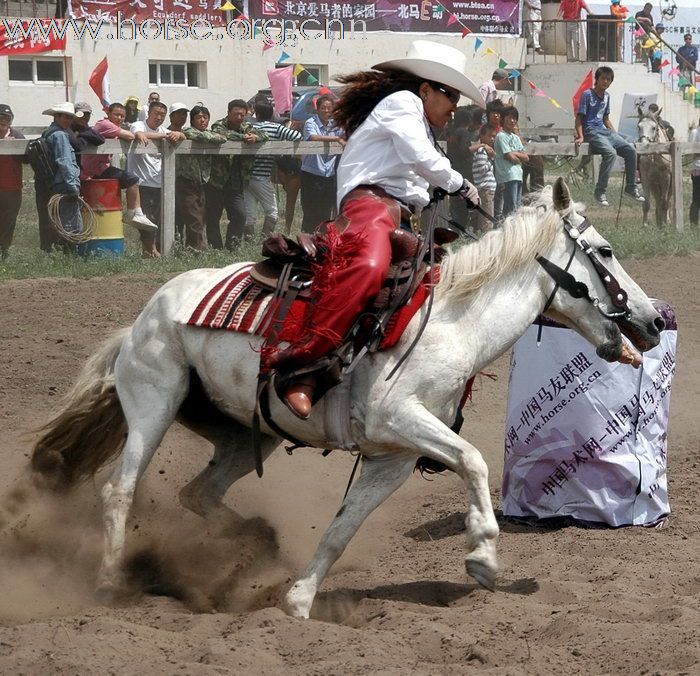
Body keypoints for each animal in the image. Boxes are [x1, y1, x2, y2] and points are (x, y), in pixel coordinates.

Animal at [32, 180, 664, 616]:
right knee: (120, 489)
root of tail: (143, 316)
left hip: (242, 433)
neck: (451, 321)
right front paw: (483, 556)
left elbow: (342, 528)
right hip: (154, 401)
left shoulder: (392, 457)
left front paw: (299, 601)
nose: (654, 320)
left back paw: (256, 543)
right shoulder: (398, 418)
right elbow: (474, 459)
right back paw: (110, 582)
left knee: (199, 492)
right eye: (605, 250)